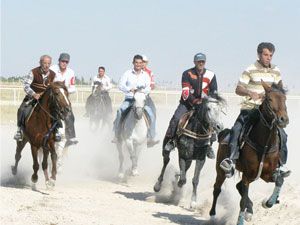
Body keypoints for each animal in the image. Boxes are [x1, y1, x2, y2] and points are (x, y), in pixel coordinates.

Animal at [210, 81, 290, 225]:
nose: (283, 119)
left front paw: (268, 202)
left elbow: (280, 180)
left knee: (238, 186)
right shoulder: (247, 175)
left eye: (284, 99)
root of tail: (224, 133)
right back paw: (213, 216)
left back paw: (250, 211)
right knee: (217, 188)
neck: (264, 145)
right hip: (221, 170)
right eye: (269, 99)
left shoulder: (266, 174)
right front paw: (240, 220)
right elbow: (242, 201)